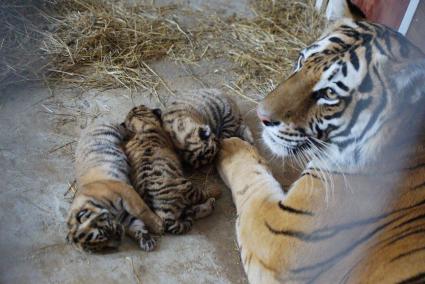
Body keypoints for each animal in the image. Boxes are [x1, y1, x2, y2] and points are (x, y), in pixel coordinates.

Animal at [217, 2, 422, 284]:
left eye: (330, 93)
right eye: (302, 61)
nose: (262, 116)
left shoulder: (278, 236)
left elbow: (252, 180)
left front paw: (229, 145)